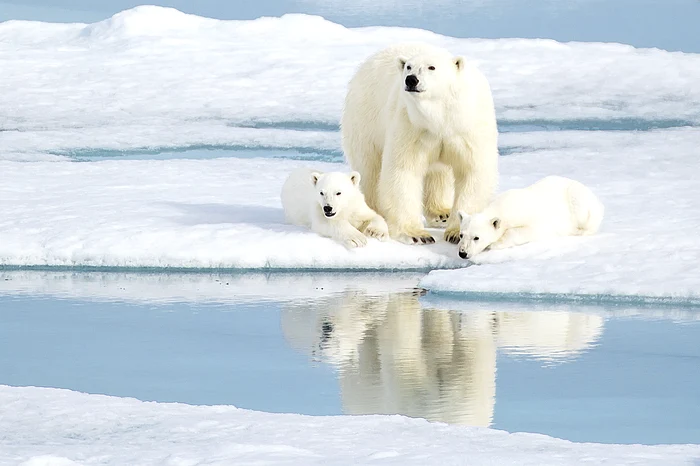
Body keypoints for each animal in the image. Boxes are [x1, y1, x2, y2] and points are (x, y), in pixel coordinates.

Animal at [340, 42, 498, 246]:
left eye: (432, 67)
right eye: (409, 66)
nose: (411, 80)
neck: (441, 118)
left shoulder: (467, 129)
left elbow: (472, 171)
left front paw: (456, 233)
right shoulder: (411, 125)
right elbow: (403, 171)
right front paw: (417, 234)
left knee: (439, 173)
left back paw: (442, 213)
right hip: (365, 119)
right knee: (370, 169)